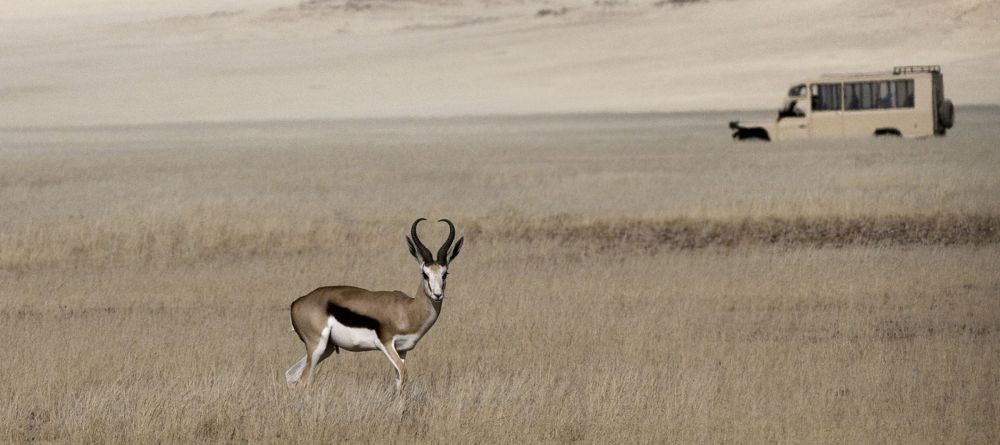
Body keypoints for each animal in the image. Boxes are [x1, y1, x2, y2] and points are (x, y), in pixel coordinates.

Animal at [286, 218, 464, 388]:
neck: (407, 310)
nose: (437, 295)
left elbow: (399, 381)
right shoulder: (386, 343)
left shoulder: (402, 350)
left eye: (445, 274)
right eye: (425, 274)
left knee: (290, 375)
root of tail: (297, 302)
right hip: (317, 346)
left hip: (326, 348)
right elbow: (404, 374)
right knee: (303, 381)